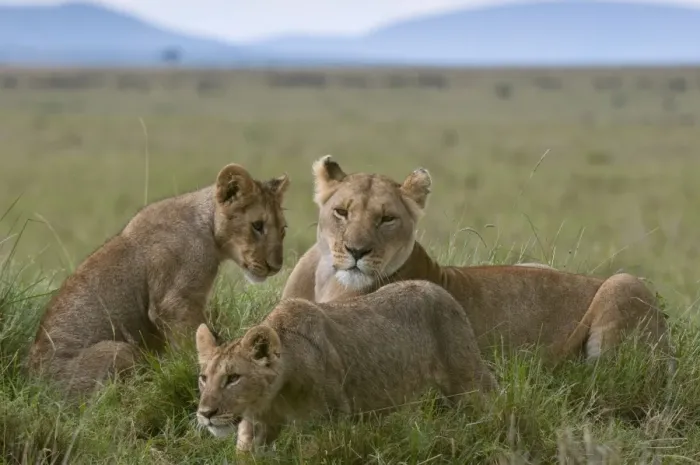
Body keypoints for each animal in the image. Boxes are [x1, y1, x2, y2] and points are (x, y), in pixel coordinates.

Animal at [27, 163, 290, 398]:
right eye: (257, 226)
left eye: (283, 230)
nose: (276, 267)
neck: (209, 231)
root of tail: (34, 384)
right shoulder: (174, 304)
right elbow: (193, 345)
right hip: (120, 351)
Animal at [195, 280, 499, 452]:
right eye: (203, 378)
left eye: (233, 377)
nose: (205, 413)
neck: (275, 399)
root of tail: (438, 288)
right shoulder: (253, 435)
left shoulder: (331, 424)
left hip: (469, 381)